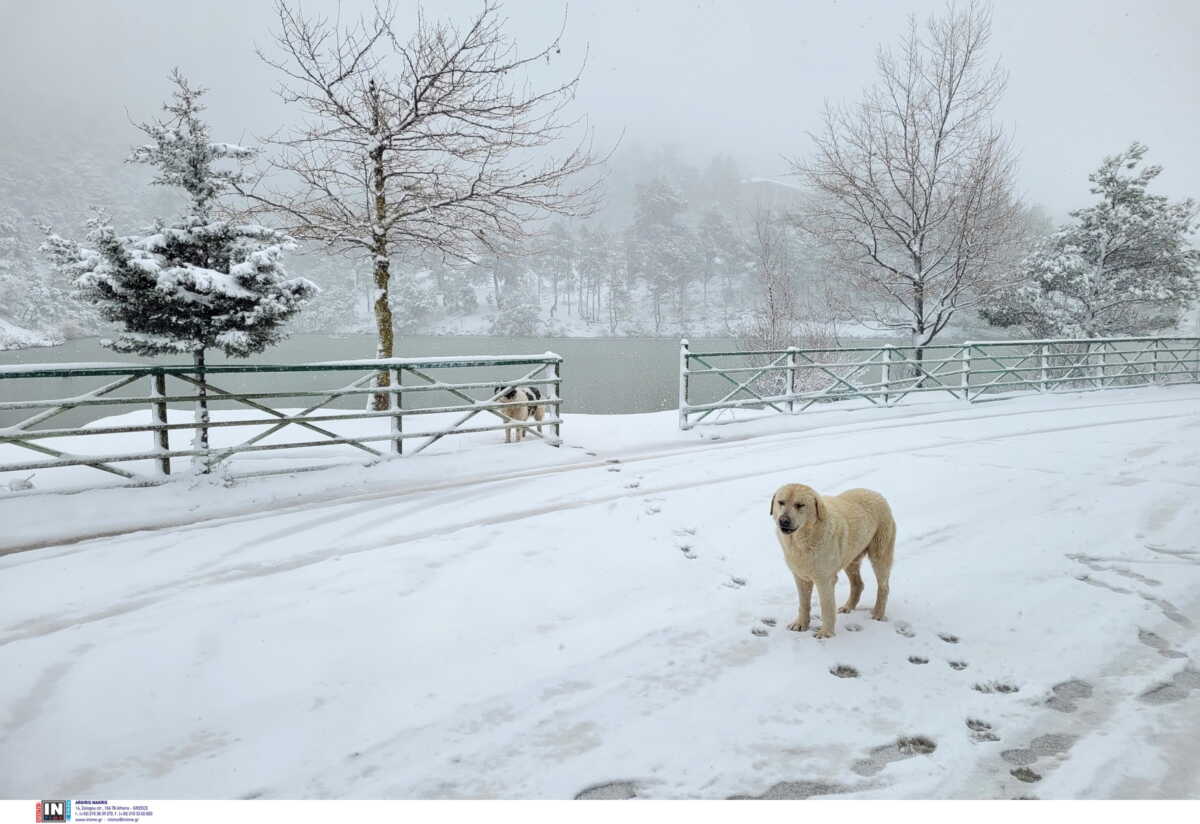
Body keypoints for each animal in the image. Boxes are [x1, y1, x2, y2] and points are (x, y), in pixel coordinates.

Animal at [772, 484, 897, 638]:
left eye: (800, 505)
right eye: (781, 502)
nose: (783, 520)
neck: (803, 541)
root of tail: (875, 493)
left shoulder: (824, 580)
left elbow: (827, 607)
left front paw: (826, 633)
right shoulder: (800, 577)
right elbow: (804, 604)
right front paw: (801, 624)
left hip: (880, 555)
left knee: (884, 587)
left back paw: (878, 614)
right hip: (850, 558)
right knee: (858, 584)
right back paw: (848, 607)